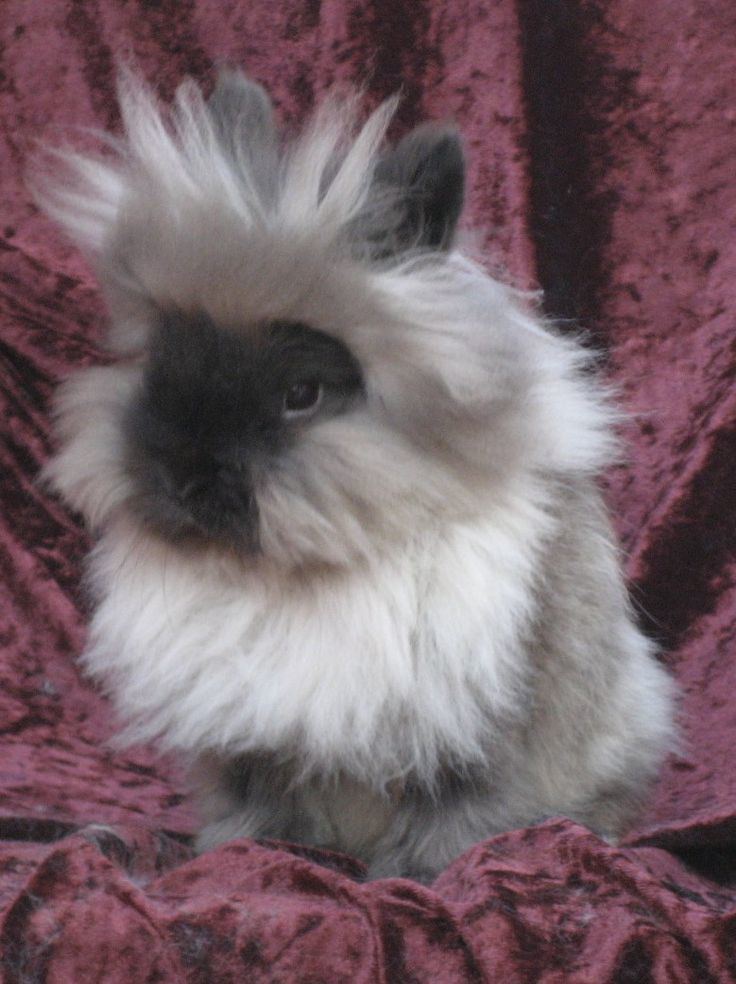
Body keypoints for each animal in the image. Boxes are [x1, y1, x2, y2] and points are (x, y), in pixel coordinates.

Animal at [37, 68, 675, 881]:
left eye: (302, 394)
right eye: (162, 357)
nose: (180, 478)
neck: (306, 567)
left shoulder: (469, 717)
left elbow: (455, 806)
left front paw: (418, 877)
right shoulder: (243, 723)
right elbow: (255, 800)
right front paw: (233, 855)